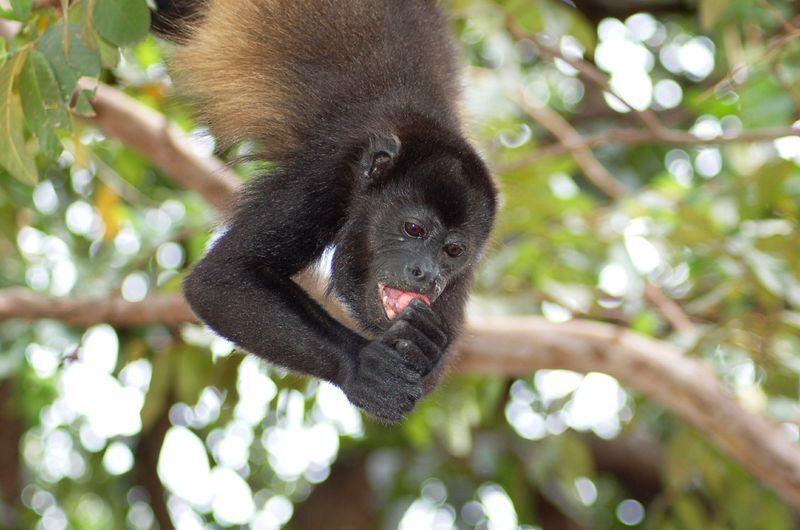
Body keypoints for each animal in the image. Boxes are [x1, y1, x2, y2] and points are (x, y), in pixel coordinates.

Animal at [153, 0, 498, 422]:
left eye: (453, 251)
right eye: (413, 229)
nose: (428, 275)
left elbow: (437, 367)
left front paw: (428, 344)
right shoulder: (327, 175)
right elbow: (220, 280)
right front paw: (362, 365)